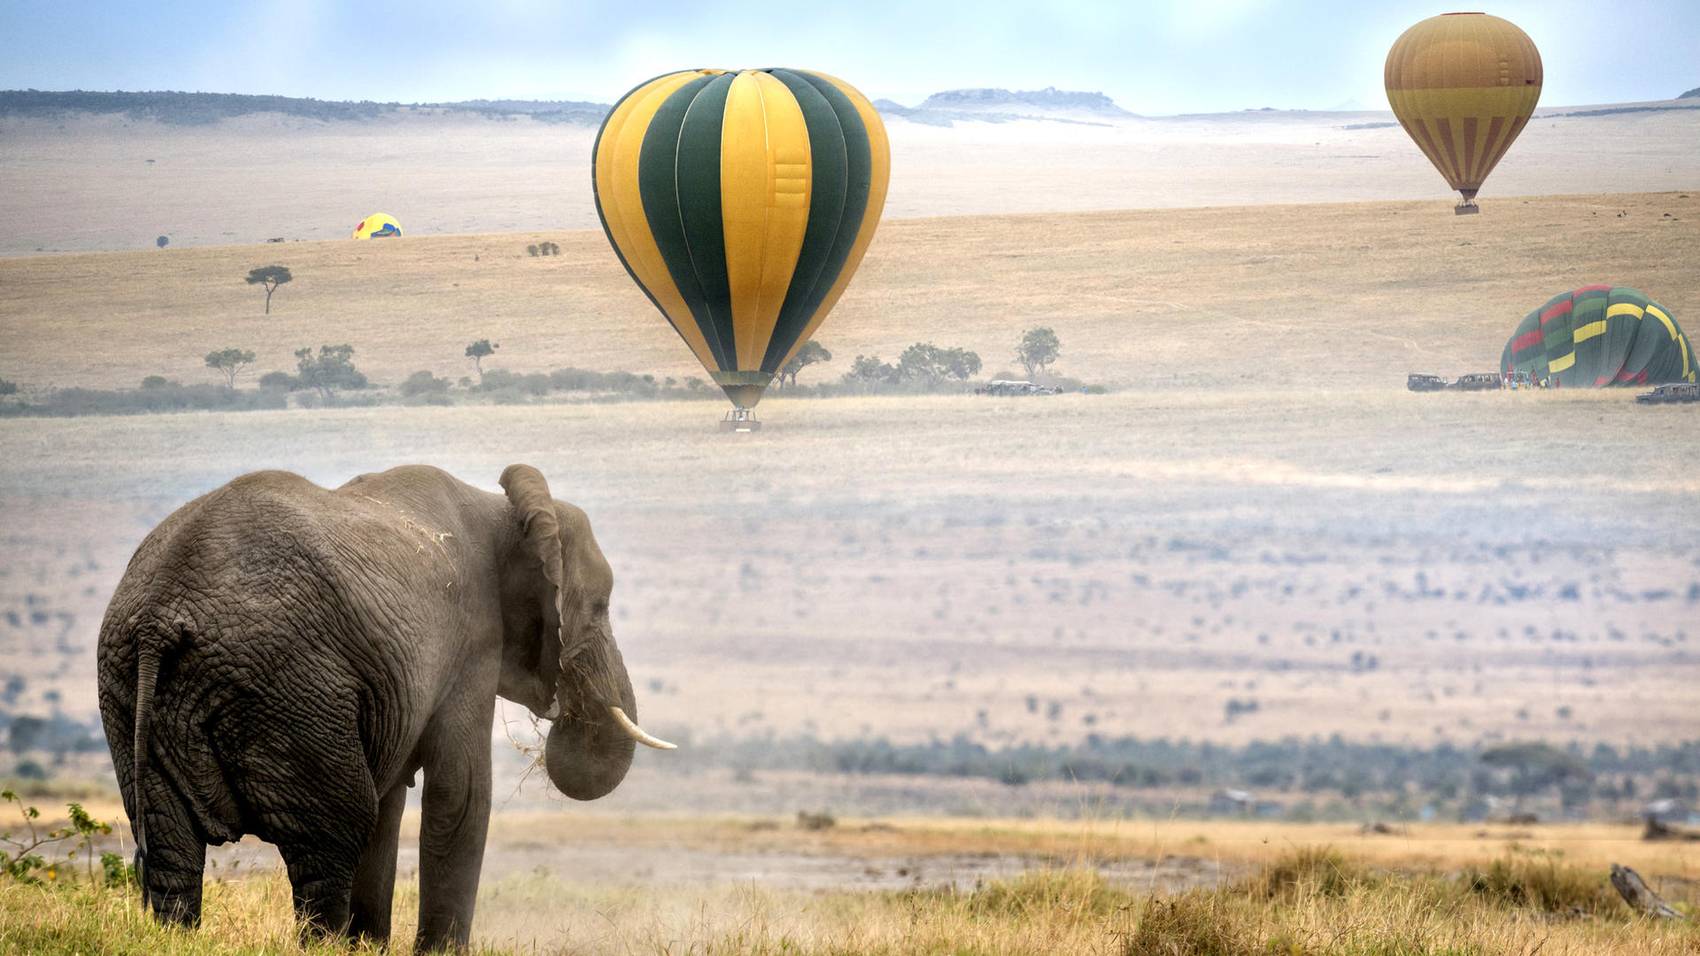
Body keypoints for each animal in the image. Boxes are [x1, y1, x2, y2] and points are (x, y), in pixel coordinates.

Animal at [94, 459, 669, 945]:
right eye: (601, 606)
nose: (564, 712)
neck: (503, 509)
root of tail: (159, 617)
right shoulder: (471, 643)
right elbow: (460, 796)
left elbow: (391, 801)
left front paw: (368, 946)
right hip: (290, 688)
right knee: (332, 837)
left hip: (127, 691)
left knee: (172, 851)